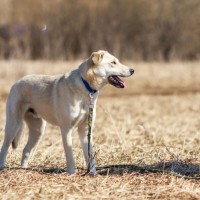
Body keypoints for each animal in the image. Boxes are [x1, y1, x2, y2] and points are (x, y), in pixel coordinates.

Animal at [0, 50, 134, 173]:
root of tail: (17, 82)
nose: (132, 70)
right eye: (113, 62)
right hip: (13, 125)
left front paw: (93, 173)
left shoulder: (85, 129)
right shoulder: (66, 129)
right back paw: (2, 167)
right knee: (4, 147)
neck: (86, 87)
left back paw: (23, 169)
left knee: (26, 150)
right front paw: (71, 172)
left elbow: (90, 155)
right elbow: (70, 154)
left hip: (38, 130)